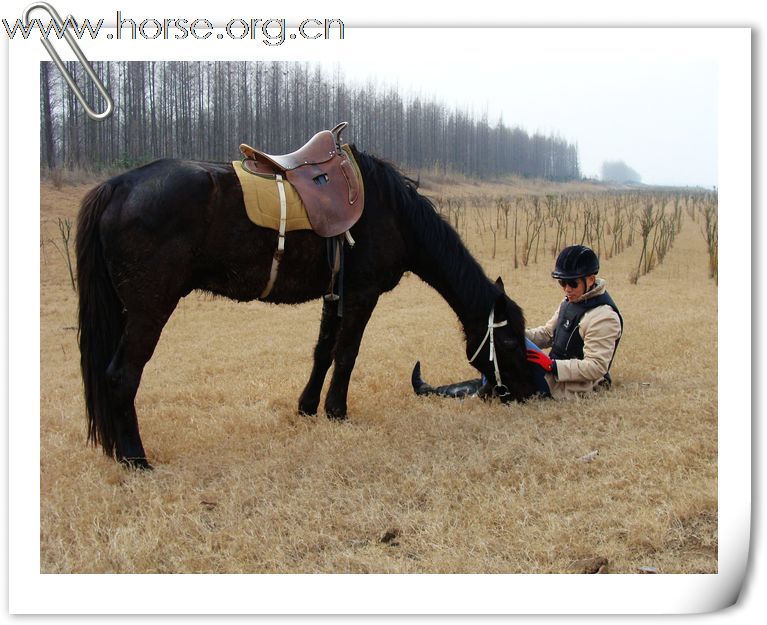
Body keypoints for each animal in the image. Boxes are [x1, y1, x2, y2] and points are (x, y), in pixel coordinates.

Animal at [78, 144, 536, 466]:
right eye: (511, 342)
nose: (533, 392)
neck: (393, 212)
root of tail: (117, 187)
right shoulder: (361, 294)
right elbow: (347, 354)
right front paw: (337, 411)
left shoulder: (336, 295)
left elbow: (323, 351)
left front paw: (308, 407)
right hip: (149, 310)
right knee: (121, 377)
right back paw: (135, 459)